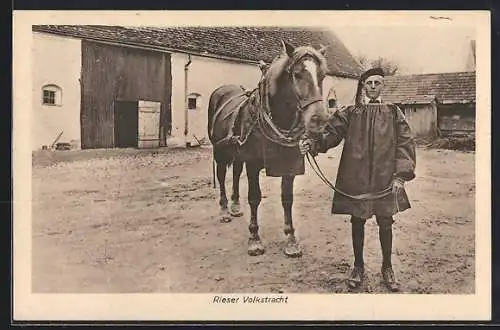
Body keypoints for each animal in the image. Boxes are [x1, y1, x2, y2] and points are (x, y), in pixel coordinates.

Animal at [208, 39, 330, 258]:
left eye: (322, 75)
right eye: (297, 74)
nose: (320, 121)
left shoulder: (289, 165)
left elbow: (287, 199)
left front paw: (290, 239)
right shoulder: (253, 163)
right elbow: (254, 197)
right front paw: (254, 238)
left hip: (238, 153)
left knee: (236, 173)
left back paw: (235, 206)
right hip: (220, 152)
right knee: (221, 177)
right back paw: (224, 210)